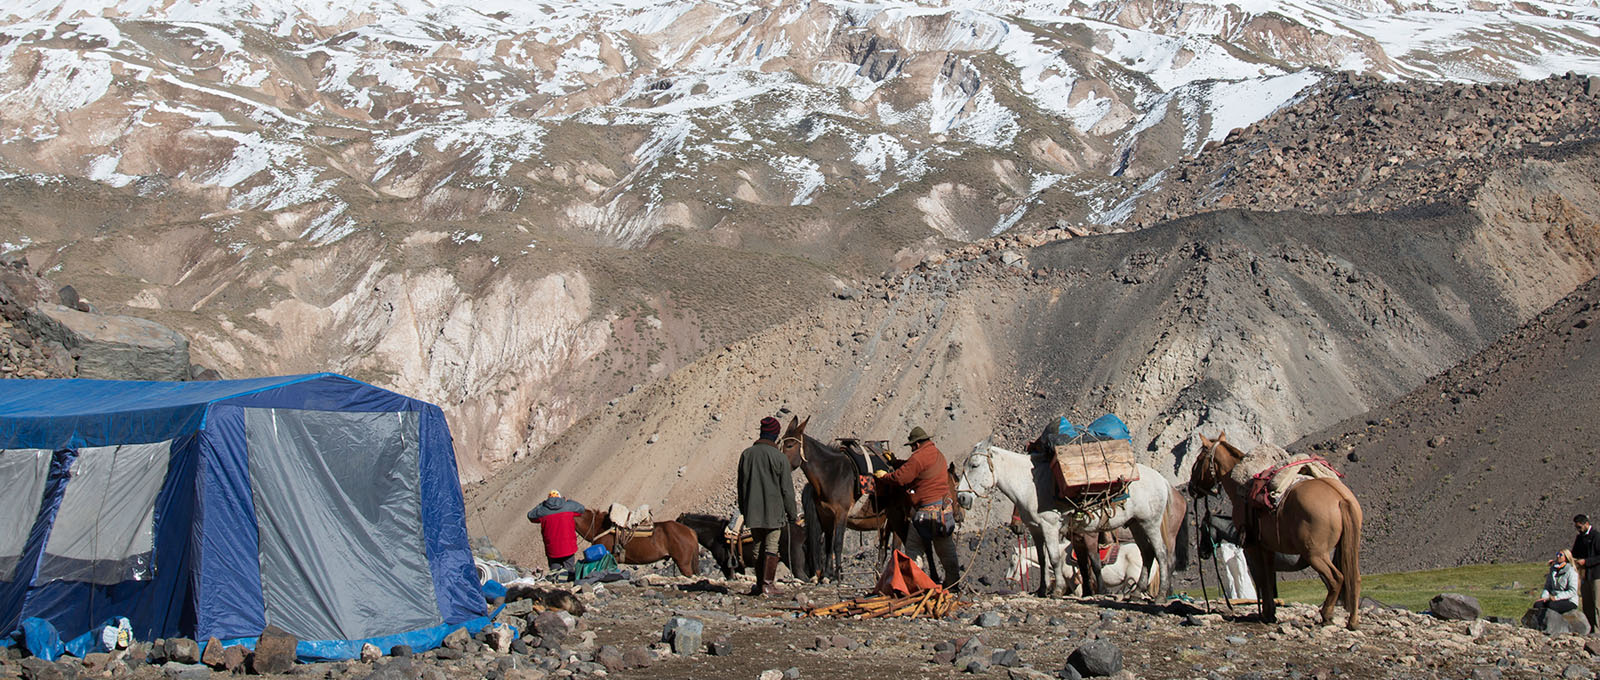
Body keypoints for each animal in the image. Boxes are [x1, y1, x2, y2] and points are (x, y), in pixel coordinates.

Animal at [947, 438, 1177, 595]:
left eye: (975, 465)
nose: (962, 498)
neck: (1029, 483)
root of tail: (1161, 479)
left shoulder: (1050, 526)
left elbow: (1055, 557)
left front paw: (1056, 590)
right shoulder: (1036, 529)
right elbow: (1042, 558)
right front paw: (1042, 590)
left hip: (1150, 523)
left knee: (1161, 553)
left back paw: (1160, 595)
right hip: (1136, 524)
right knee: (1147, 553)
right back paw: (1137, 593)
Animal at [1190, 432, 1363, 627]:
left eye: (1199, 460)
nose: (1191, 488)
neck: (1239, 489)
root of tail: (1340, 497)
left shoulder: (1253, 548)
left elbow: (1262, 580)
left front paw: (1266, 614)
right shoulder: (1268, 549)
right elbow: (1268, 580)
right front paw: (1270, 612)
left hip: (1315, 554)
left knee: (1337, 578)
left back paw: (1326, 614)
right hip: (1346, 549)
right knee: (1354, 578)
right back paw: (1352, 621)